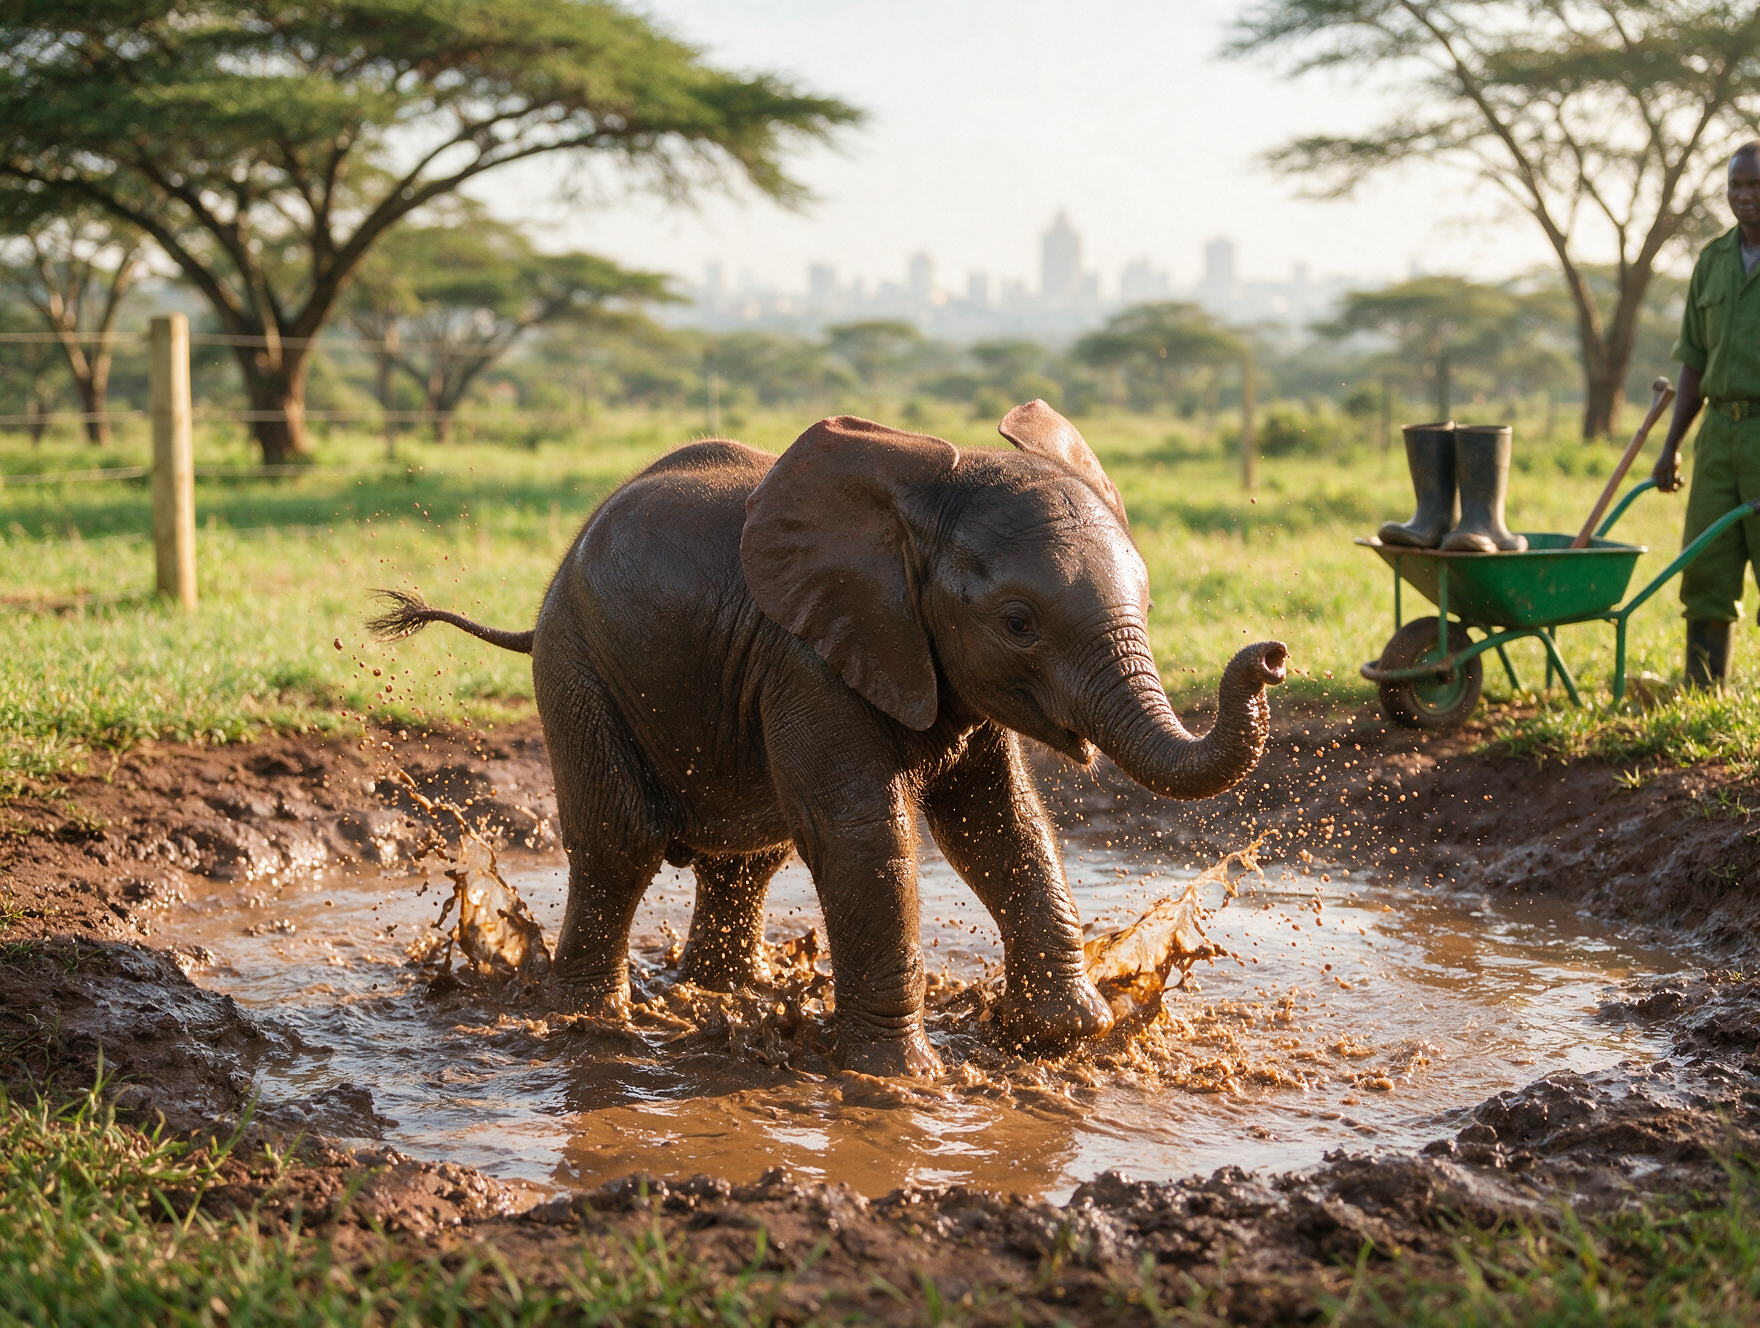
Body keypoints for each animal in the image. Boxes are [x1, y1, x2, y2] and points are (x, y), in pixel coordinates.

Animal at [369, 401, 1287, 1077]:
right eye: (1018, 623)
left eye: (1152, 605)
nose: (1271, 656)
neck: (920, 505)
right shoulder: (808, 659)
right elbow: (861, 833)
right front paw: (900, 1081)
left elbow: (1001, 822)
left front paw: (1064, 1037)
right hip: (576, 662)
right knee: (620, 838)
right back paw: (594, 1024)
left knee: (750, 854)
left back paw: (723, 994)